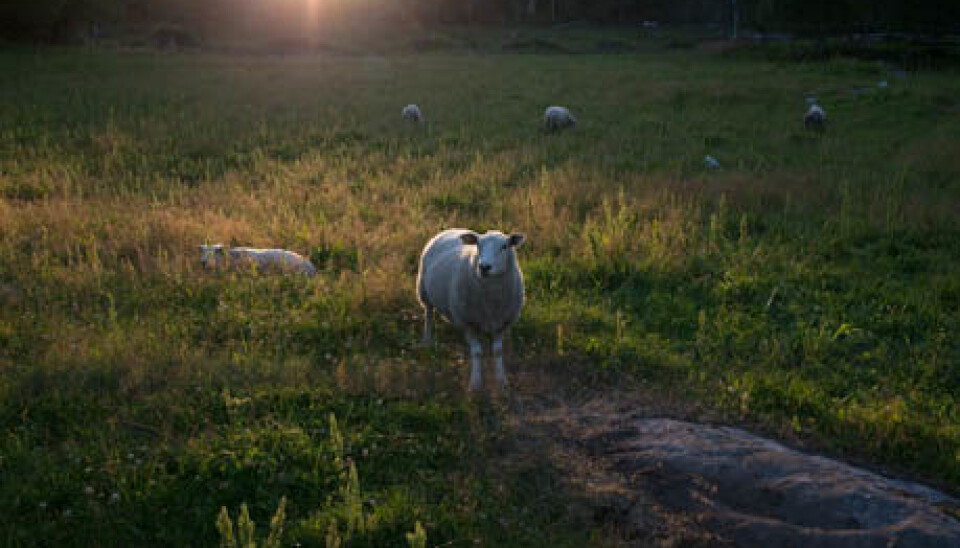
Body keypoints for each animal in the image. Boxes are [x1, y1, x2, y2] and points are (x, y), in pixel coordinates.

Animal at [417, 229, 526, 390]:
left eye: (504, 246)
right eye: (478, 245)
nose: (484, 267)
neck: (490, 300)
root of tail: (450, 229)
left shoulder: (502, 323)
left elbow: (498, 352)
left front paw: (502, 381)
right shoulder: (468, 323)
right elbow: (476, 352)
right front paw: (475, 382)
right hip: (424, 290)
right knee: (428, 314)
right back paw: (427, 340)